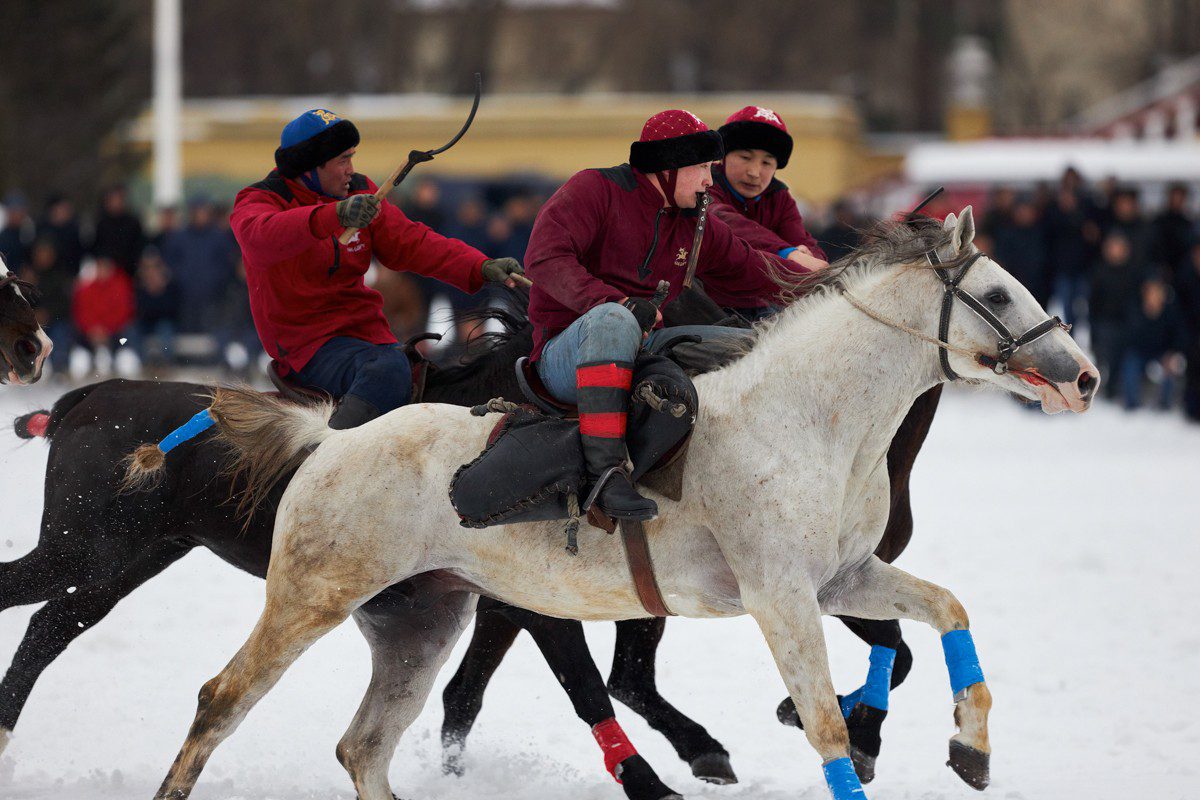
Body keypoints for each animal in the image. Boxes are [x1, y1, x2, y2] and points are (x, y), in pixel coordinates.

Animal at [150, 209, 1099, 800]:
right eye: (1000, 294)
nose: (1084, 375)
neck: (810, 418)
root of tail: (332, 440)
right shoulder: (782, 597)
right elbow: (829, 727)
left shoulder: (845, 578)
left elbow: (945, 612)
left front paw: (970, 746)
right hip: (312, 597)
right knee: (220, 700)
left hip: (423, 620)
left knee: (365, 747)